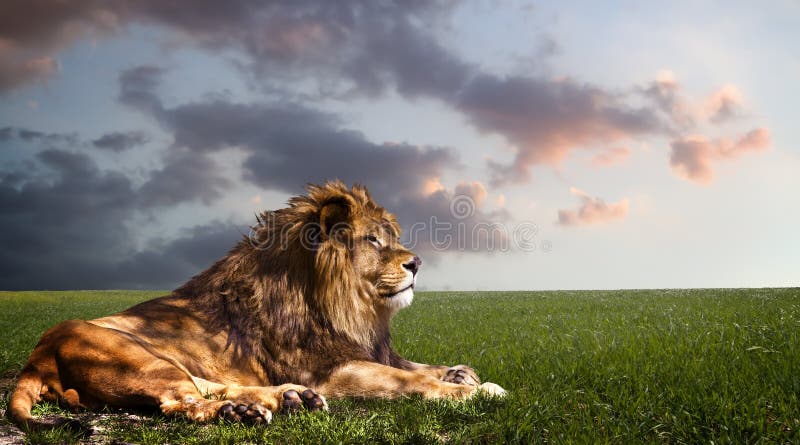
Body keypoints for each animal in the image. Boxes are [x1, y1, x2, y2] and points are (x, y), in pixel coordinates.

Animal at [7, 181, 506, 430]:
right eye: (372, 240)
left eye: (391, 236)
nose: (417, 262)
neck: (349, 307)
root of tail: (37, 357)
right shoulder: (331, 371)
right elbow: (405, 380)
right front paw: (469, 391)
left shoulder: (359, 351)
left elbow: (414, 365)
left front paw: (462, 373)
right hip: (140, 359)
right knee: (183, 400)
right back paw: (247, 411)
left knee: (210, 385)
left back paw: (285, 399)